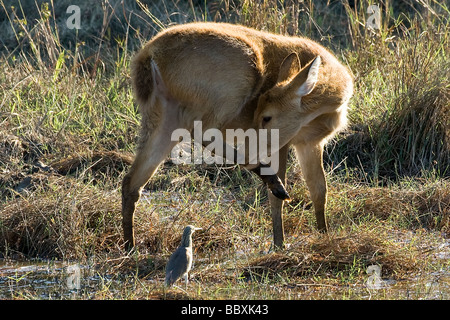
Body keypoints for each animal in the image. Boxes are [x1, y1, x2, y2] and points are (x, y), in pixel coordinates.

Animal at [121, 22, 354, 250]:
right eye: (259, 113)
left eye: (267, 117)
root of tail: (148, 57)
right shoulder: (284, 142)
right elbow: (279, 198)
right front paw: (279, 245)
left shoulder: (309, 142)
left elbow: (319, 190)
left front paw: (324, 234)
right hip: (235, 83)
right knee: (203, 132)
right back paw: (272, 181)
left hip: (163, 118)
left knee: (132, 181)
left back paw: (130, 247)